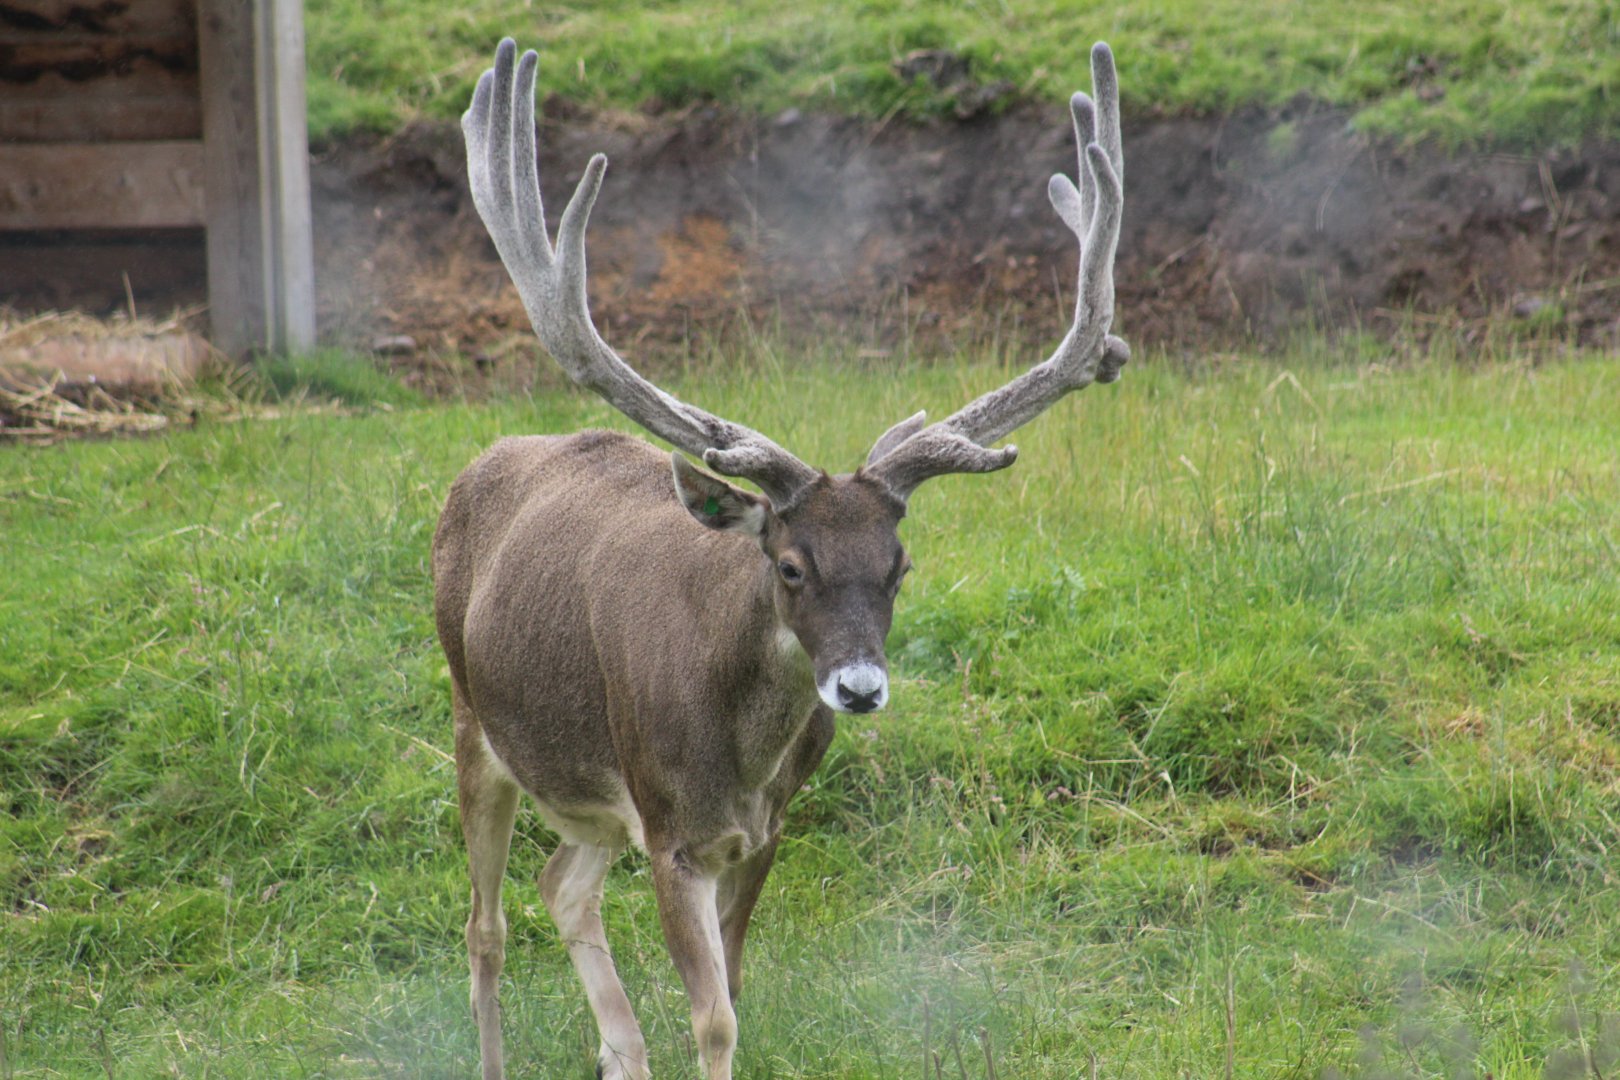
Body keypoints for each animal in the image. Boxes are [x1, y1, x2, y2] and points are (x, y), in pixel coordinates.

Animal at [433, 37, 1129, 1080]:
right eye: (791, 565)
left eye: (900, 565)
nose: (859, 689)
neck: (737, 759)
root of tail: (479, 466)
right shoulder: (670, 830)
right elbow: (715, 1019)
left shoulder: (762, 830)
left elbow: (737, 989)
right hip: (476, 719)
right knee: (486, 926)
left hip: (592, 794)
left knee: (561, 881)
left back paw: (621, 1050)